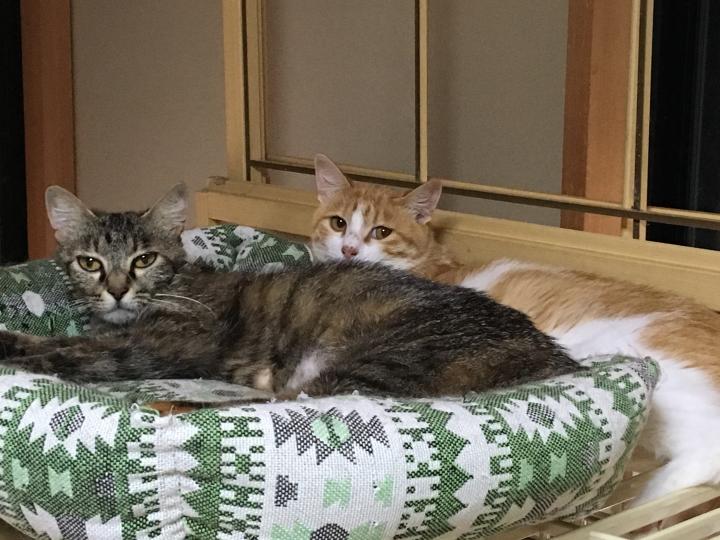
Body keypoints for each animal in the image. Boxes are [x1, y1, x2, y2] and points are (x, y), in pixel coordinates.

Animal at [0, 186, 581, 401]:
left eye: (144, 260)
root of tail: (551, 354)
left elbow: (66, 352)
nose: (118, 290)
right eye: (90, 263)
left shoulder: (155, 348)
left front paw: (14, 342)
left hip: (376, 362)